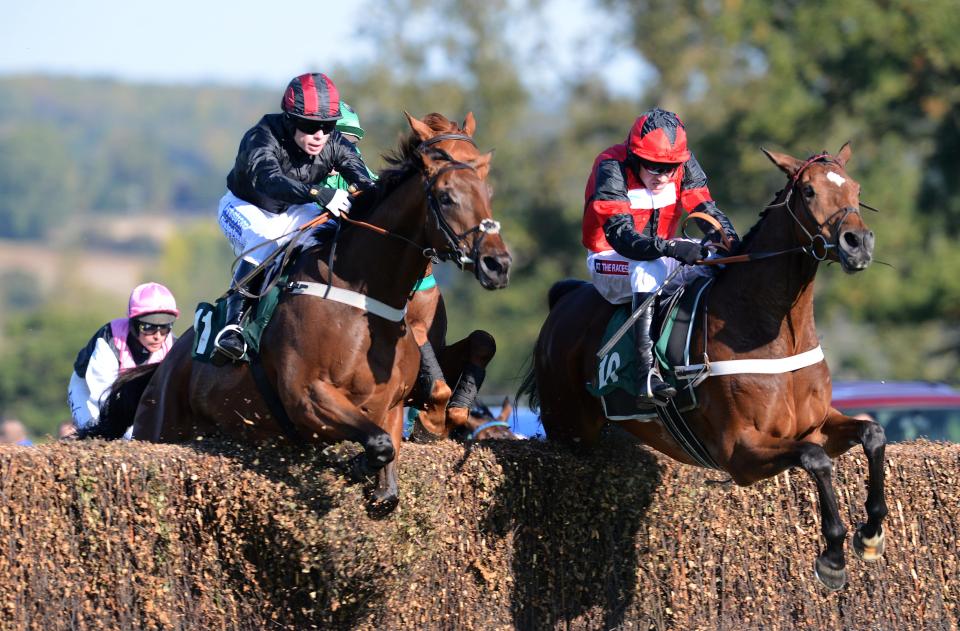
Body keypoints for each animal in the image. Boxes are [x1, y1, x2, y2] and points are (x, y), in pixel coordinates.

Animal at [91, 113, 510, 516]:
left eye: (488, 191)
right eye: (446, 196)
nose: (497, 264)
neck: (362, 295)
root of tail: (160, 372)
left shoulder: (389, 407)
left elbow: (388, 475)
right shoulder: (306, 395)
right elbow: (377, 444)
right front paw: (358, 462)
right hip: (159, 429)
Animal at [516, 144, 884, 592]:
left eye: (856, 188)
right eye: (810, 191)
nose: (857, 243)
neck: (772, 326)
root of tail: (564, 298)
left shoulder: (815, 425)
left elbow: (872, 433)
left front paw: (871, 532)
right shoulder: (739, 451)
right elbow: (815, 459)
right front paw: (833, 555)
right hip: (567, 428)